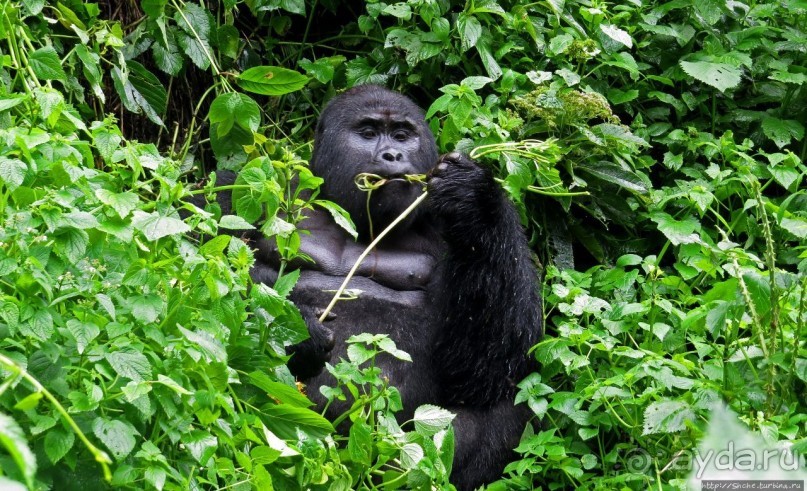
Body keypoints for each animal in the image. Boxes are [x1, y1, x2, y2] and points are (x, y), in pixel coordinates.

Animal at [213, 86, 544, 490]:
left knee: (510, 399)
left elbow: (491, 364)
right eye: (369, 133)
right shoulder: (243, 186)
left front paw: (474, 199)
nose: (393, 155)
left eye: (402, 136)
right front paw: (299, 332)